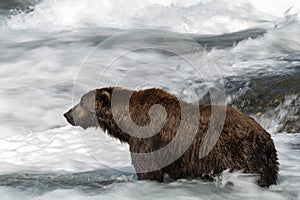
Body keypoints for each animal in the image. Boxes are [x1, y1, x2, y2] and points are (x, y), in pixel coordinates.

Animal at [63, 87, 278, 188]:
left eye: (81, 102)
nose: (67, 114)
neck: (127, 122)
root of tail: (266, 136)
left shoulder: (148, 140)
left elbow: (148, 170)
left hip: (239, 152)